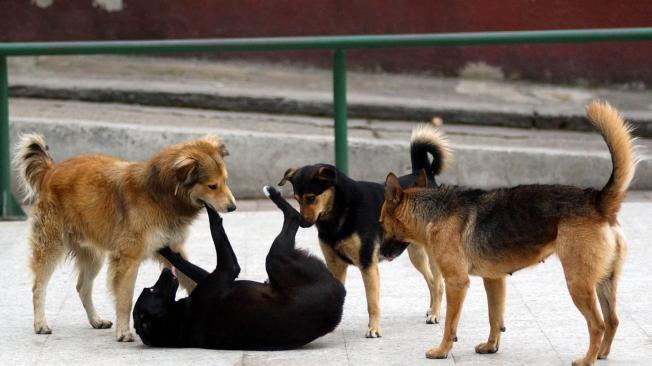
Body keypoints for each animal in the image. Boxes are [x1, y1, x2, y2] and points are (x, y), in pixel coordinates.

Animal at [14, 134, 237, 344]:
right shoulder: (129, 258)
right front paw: (123, 332)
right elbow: (125, 297)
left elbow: (191, 279)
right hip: (51, 246)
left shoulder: (173, 249)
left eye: (226, 181)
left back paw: (95, 320)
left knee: (82, 287)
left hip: (93, 256)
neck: (158, 194)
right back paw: (40, 324)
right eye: (212, 186)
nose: (233, 207)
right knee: (38, 287)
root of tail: (50, 170)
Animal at [132, 187, 346, 350]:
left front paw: (164, 250)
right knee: (293, 217)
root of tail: (339, 299)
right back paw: (274, 194)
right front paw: (210, 206)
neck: (178, 321)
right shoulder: (228, 269)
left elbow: (184, 263)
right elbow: (216, 225)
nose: (166, 272)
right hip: (276, 258)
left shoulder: (214, 277)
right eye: (152, 290)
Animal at [278, 125, 450, 338]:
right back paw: (431, 309)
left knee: (439, 284)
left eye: (311, 198)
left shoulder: (368, 265)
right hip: (415, 254)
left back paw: (435, 314)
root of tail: (426, 176)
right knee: (431, 281)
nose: (302, 223)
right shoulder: (335, 265)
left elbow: (372, 302)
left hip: (431, 252)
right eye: (296, 199)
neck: (341, 211)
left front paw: (373, 329)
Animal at [380, 101, 636, 366]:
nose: (379, 253)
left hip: (578, 284)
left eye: (381, 223)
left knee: (598, 324)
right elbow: (495, 317)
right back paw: (601, 354)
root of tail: (597, 203)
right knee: (612, 321)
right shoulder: (494, 280)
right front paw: (491, 346)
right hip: (604, 282)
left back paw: (587, 359)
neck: (433, 211)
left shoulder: (456, 283)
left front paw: (442, 350)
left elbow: (450, 325)